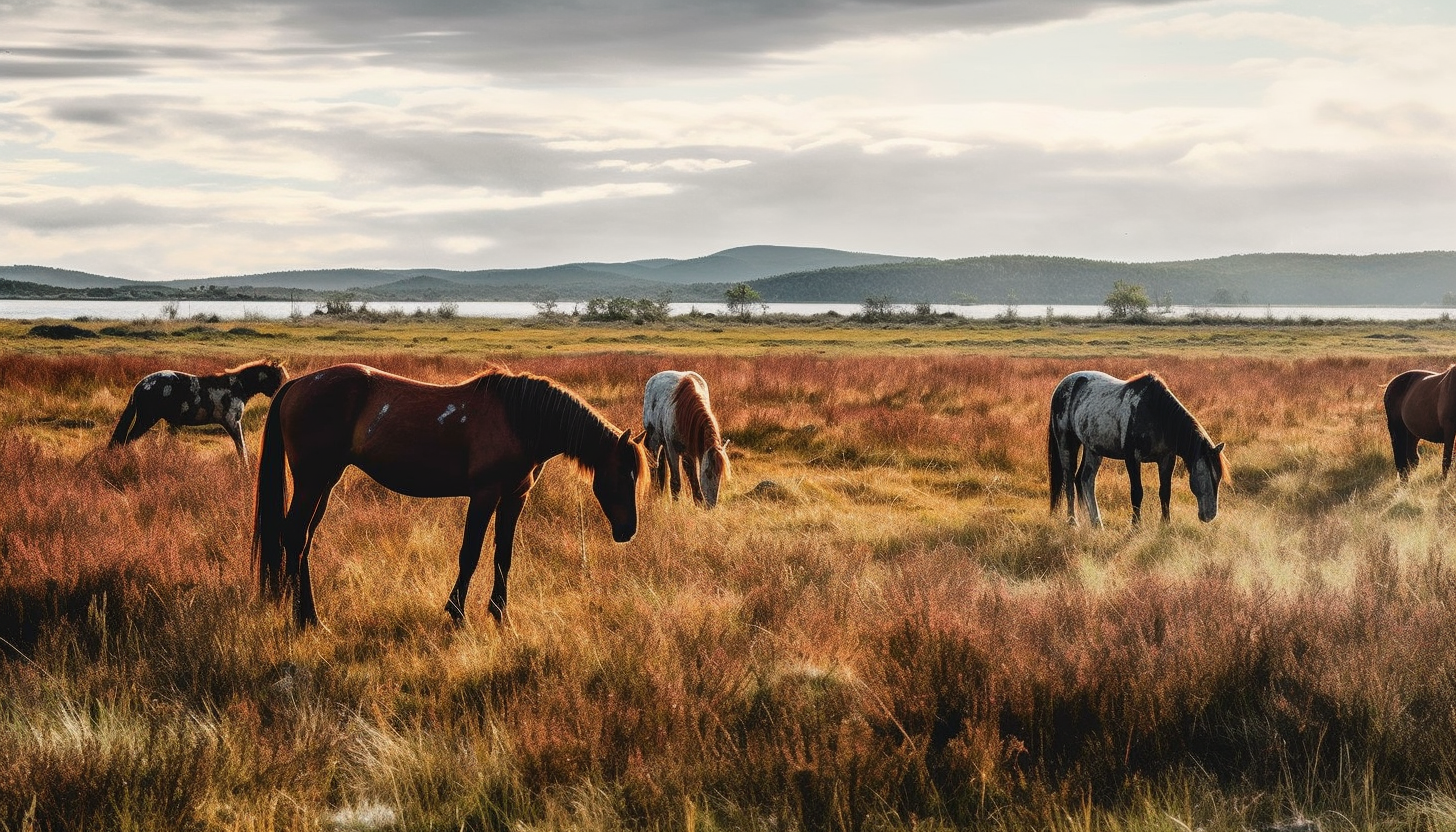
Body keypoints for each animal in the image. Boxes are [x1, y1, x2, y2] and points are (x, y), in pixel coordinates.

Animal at [110, 358, 286, 463]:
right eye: (277, 378)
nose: (280, 395)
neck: (237, 386)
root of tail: (140, 386)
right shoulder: (233, 422)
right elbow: (241, 449)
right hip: (146, 420)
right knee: (127, 440)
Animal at [253, 361, 646, 629]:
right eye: (620, 476)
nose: (627, 531)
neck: (521, 419)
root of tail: (298, 384)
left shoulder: (515, 497)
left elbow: (504, 555)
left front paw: (500, 615)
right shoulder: (485, 495)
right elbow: (470, 554)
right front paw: (457, 614)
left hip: (326, 481)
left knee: (303, 539)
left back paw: (310, 616)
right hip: (311, 480)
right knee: (295, 535)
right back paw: (303, 619)